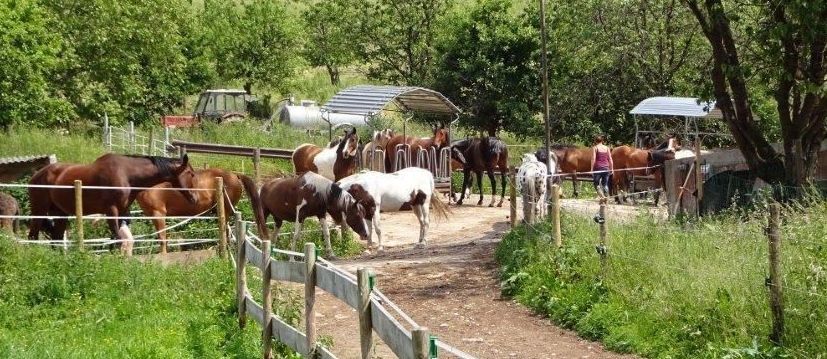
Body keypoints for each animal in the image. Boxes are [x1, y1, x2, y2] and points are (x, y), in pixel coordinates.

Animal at [49, 155, 196, 256]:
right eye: (191, 173)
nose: (195, 198)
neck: (127, 174)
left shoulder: (120, 212)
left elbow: (117, 239)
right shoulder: (111, 211)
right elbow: (118, 239)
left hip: (61, 215)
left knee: (55, 237)